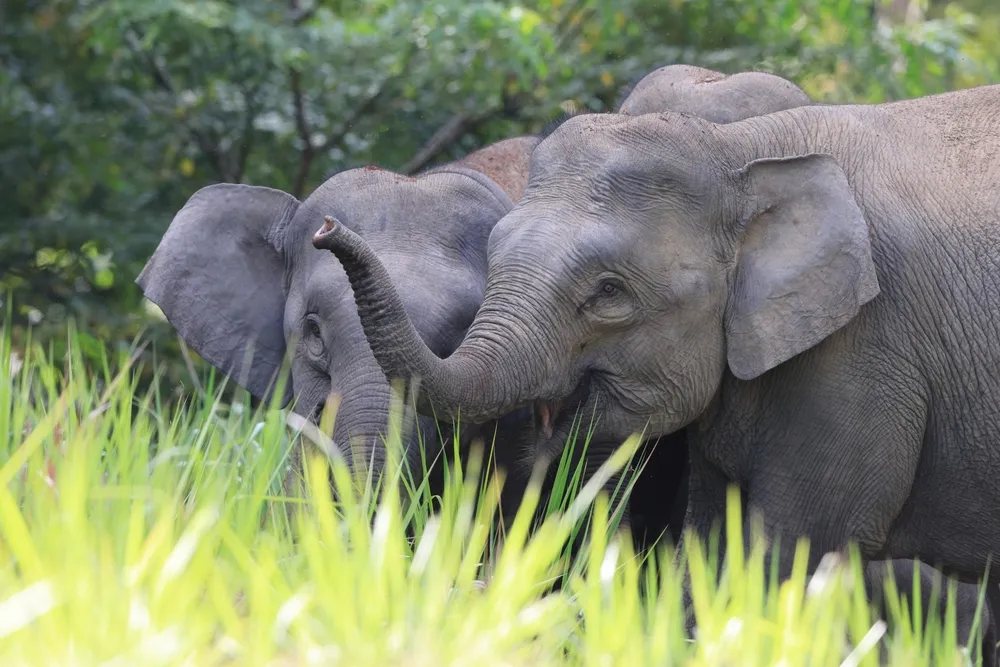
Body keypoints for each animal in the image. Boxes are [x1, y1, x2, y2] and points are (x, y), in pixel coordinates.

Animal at [313, 80, 1000, 656]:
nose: (324, 230)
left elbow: (791, 549)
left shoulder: (865, 352)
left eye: (608, 293)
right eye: (494, 249)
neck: (745, 153)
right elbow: (713, 542)